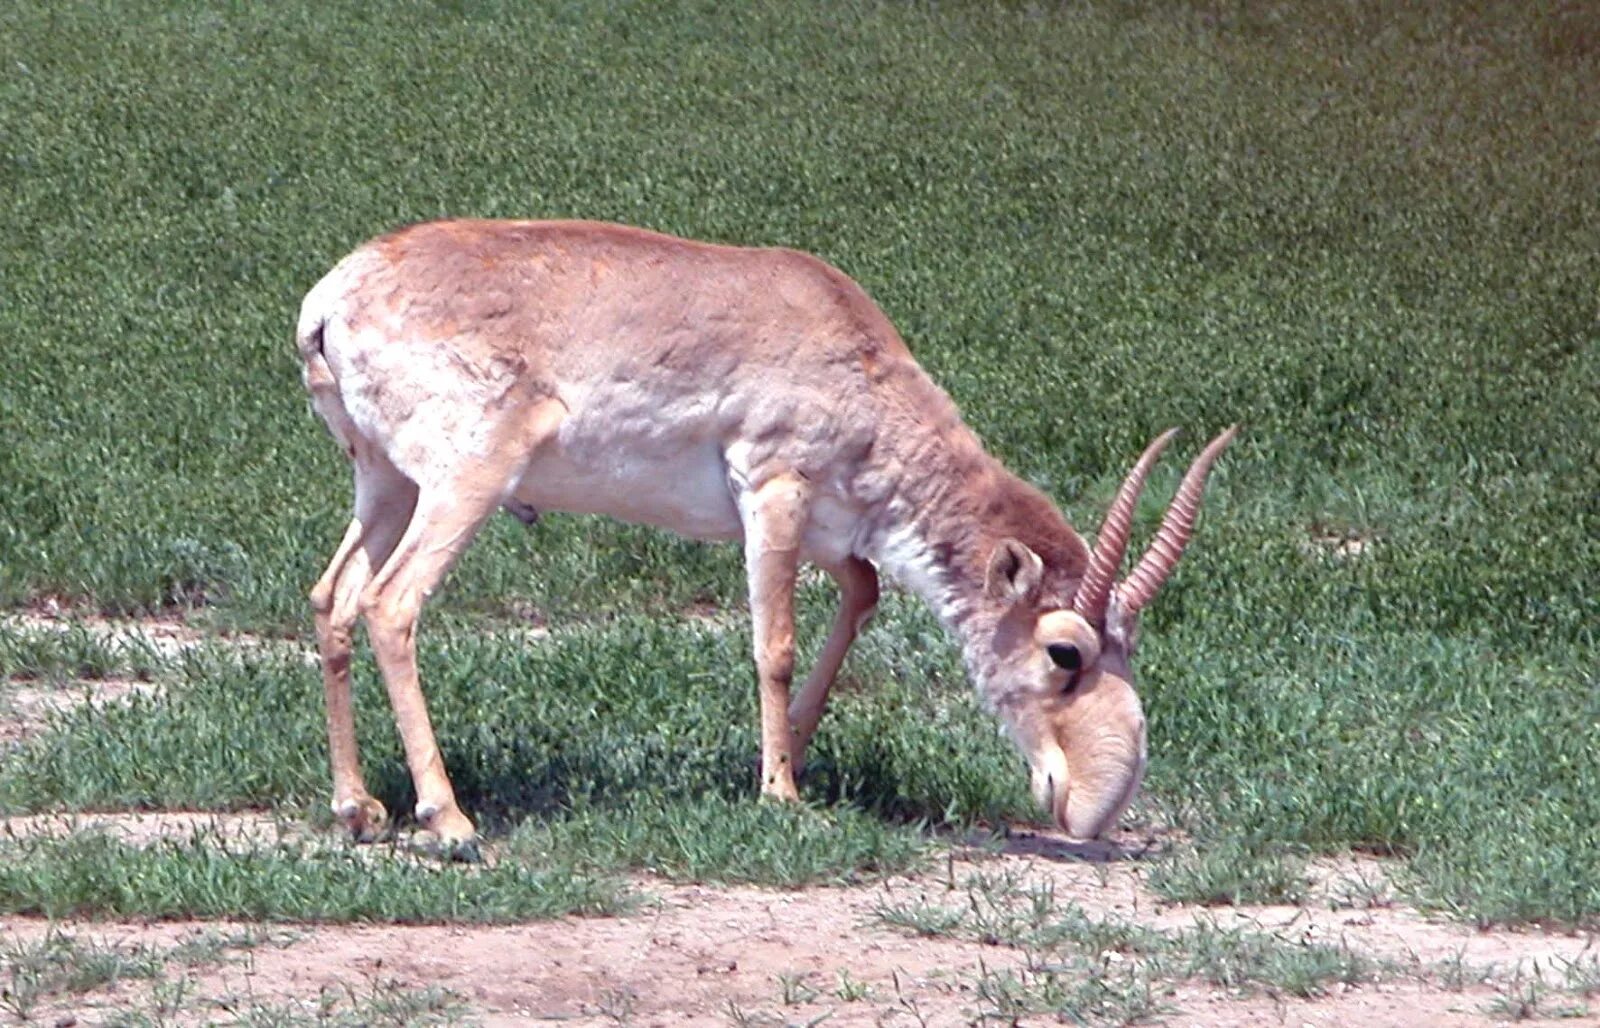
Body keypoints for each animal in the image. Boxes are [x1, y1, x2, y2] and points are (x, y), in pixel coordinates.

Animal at [294, 220, 1228, 851]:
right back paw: (448, 818)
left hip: (384, 484)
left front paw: (797, 758)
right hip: (465, 483)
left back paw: (357, 806)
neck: (858, 363)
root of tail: (330, 299)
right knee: (392, 605)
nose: (1098, 808)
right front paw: (780, 793)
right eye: (1065, 652)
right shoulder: (773, 490)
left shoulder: (839, 536)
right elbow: (773, 645)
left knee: (333, 597)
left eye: (1128, 646)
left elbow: (860, 598)